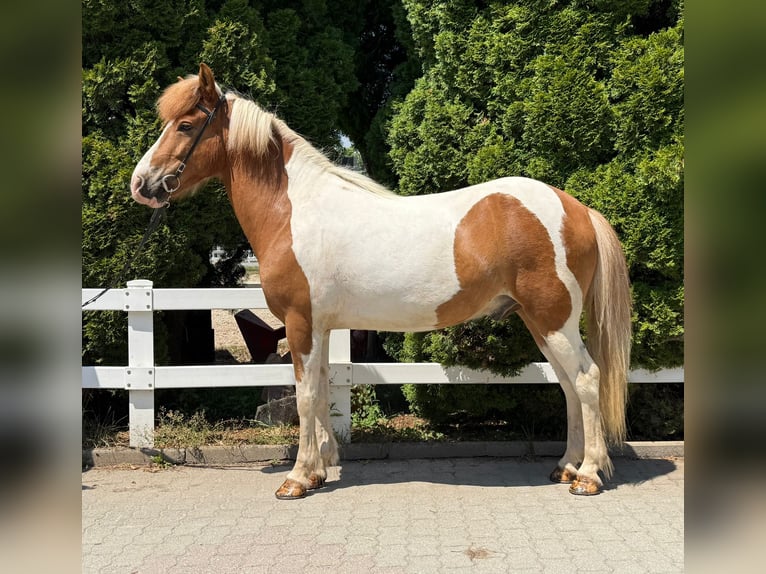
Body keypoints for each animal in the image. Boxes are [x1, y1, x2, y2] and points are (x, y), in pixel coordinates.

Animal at [131, 63, 632, 498]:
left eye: (186, 125)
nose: (141, 184)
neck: (295, 210)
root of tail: (576, 208)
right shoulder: (319, 328)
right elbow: (322, 389)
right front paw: (320, 468)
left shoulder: (300, 322)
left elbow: (305, 395)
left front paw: (296, 478)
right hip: (539, 320)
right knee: (567, 385)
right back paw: (565, 466)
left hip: (553, 319)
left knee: (586, 379)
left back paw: (588, 476)